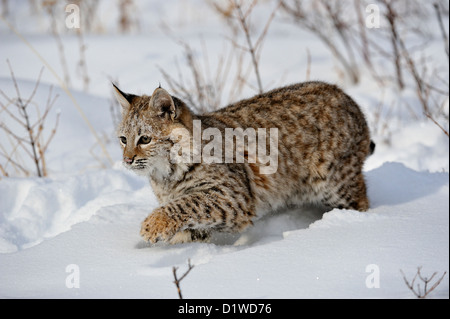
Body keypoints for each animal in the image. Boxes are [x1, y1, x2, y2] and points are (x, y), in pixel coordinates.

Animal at [114, 81, 374, 244]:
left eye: (145, 139)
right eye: (123, 139)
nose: (127, 160)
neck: (166, 174)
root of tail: (344, 95)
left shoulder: (233, 197)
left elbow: (189, 202)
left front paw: (154, 224)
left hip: (332, 182)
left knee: (361, 200)